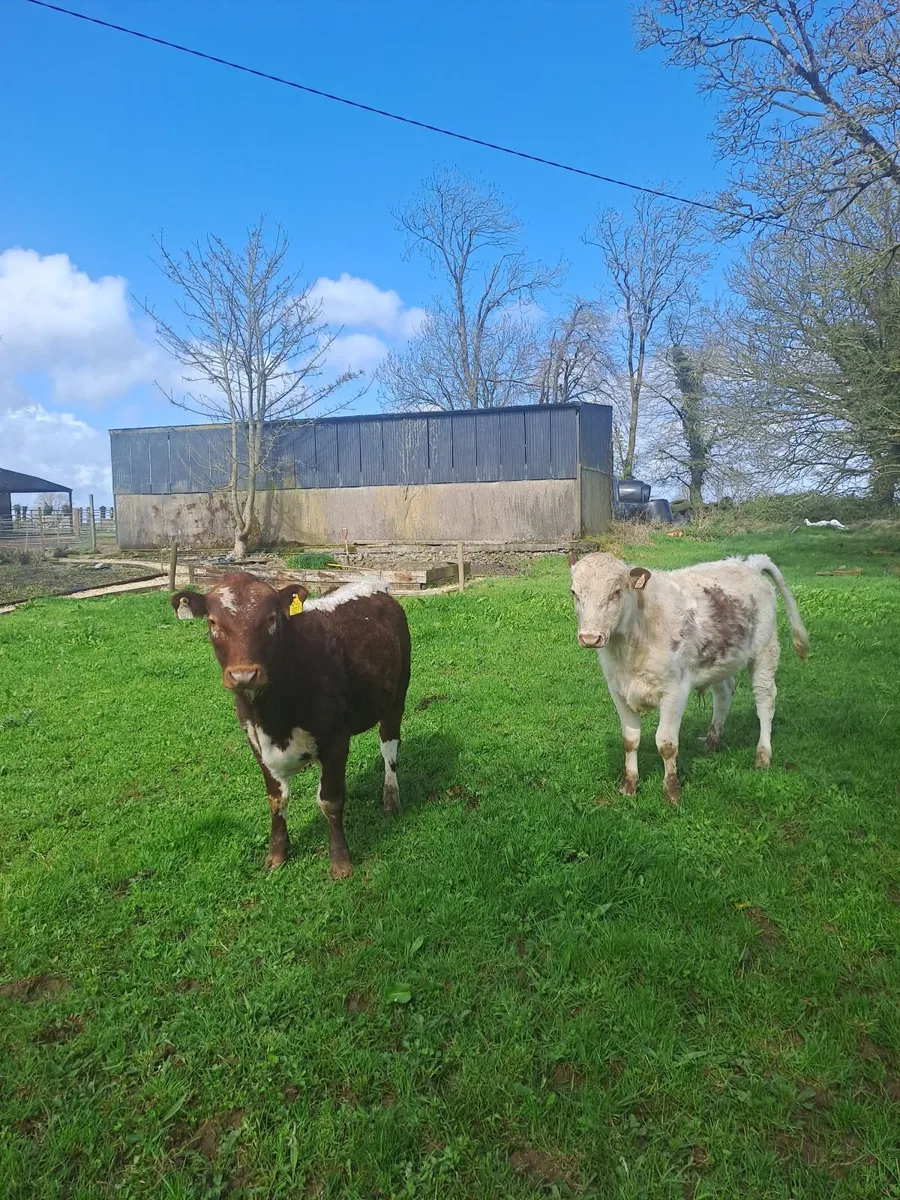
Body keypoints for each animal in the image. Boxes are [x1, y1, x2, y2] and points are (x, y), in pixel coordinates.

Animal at [171, 573, 411, 879]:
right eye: (213, 622)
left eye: (271, 618)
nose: (243, 674)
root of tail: (372, 583)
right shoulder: (255, 741)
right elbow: (277, 799)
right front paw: (276, 855)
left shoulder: (335, 738)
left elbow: (330, 799)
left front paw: (341, 862)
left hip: (398, 693)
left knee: (389, 745)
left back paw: (391, 798)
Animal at [568, 550, 808, 802]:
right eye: (574, 592)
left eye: (616, 592)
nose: (590, 637)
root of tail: (750, 563)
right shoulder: (618, 690)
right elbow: (630, 740)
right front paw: (629, 785)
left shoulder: (675, 691)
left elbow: (666, 744)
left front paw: (672, 790)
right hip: (719, 662)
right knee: (724, 693)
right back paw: (712, 741)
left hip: (765, 651)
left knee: (765, 701)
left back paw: (762, 755)